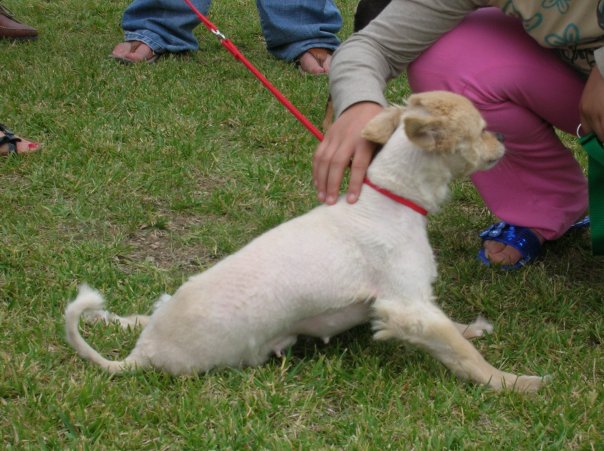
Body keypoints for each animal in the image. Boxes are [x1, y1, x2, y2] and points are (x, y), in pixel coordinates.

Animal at [65, 91, 548, 392]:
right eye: (483, 129)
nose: (504, 137)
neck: (390, 197)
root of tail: (144, 351)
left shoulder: (418, 303)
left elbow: (454, 330)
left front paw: (474, 329)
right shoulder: (406, 306)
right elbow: (462, 353)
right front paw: (514, 383)